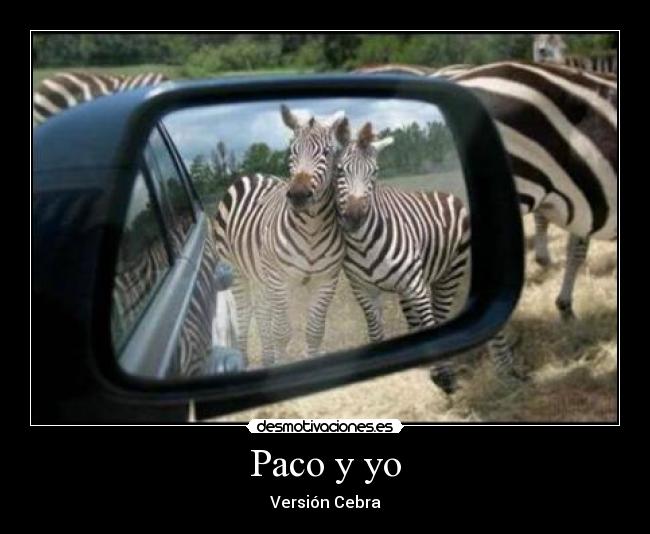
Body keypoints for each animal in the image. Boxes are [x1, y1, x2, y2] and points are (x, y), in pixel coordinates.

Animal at [214, 104, 347, 366]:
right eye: (292, 152)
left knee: (262, 313)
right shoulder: (278, 278)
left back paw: (267, 357)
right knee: (245, 314)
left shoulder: (326, 279)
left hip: (259, 274)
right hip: (234, 270)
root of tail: (251, 175)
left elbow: (314, 331)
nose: (298, 195)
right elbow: (282, 331)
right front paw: (281, 361)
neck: (312, 230)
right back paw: (244, 359)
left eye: (327, 152)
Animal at [333, 120, 480, 394]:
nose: (355, 218)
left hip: (449, 273)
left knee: (438, 316)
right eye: (339, 170)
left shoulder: (417, 286)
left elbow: (431, 326)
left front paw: (445, 376)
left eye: (375, 172)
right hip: (405, 290)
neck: (363, 244)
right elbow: (375, 331)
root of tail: (443, 193)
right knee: (415, 323)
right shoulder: (363, 290)